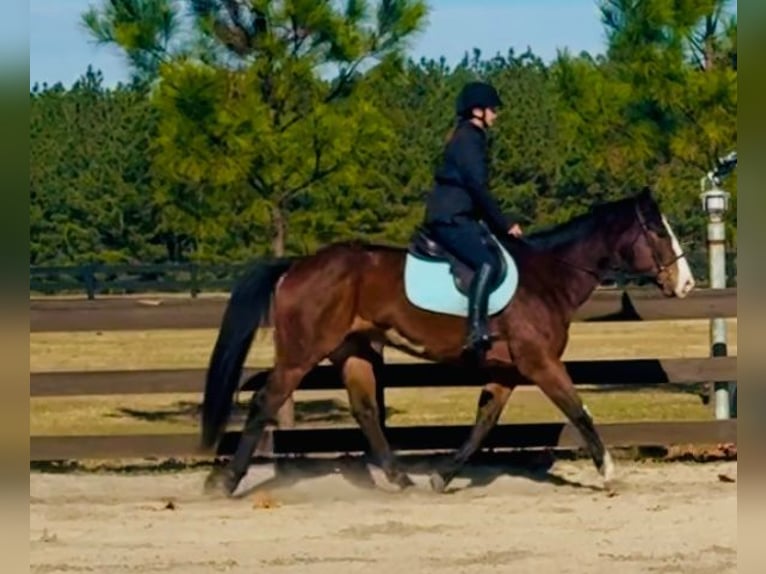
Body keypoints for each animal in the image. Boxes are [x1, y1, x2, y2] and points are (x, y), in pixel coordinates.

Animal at [199, 187, 695, 497]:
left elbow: (483, 424)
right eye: (657, 231)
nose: (687, 284)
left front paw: (444, 476)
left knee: (365, 410)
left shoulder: (507, 371)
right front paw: (609, 472)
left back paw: (402, 481)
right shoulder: (540, 363)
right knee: (265, 401)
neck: (548, 275)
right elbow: (579, 411)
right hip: (302, 353)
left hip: (352, 350)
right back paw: (224, 483)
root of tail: (298, 265)